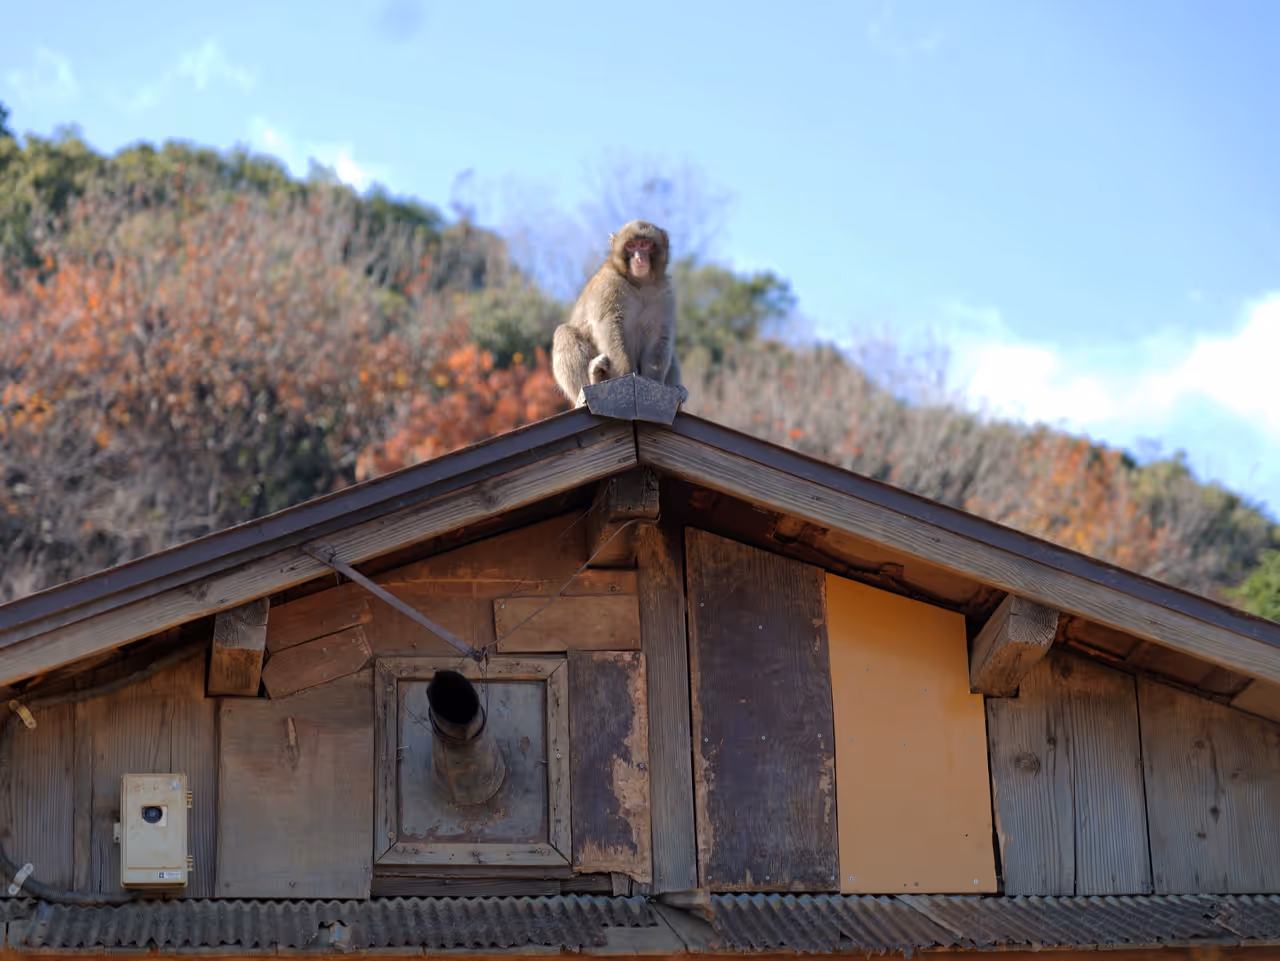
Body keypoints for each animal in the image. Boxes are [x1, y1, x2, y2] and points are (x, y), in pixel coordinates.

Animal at [552, 220, 682, 405]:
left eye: (645, 244)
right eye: (631, 245)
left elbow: (659, 336)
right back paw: (594, 378)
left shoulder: (666, 292)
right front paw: (624, 377)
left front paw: (654, 387)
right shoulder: (608, 286)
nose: (639, 257)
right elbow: (610, 327)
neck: (639, 284)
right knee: (564, 332)